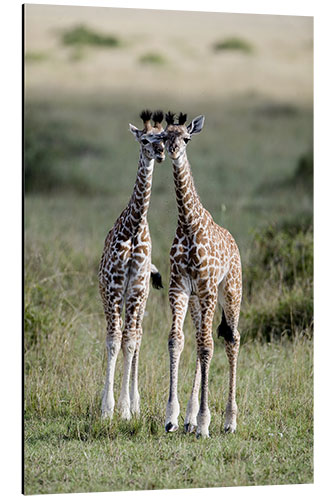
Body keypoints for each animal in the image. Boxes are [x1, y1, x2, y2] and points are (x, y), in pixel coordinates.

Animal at [147, 112, 240, 438]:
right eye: (164, 137)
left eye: (186, 138)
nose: (173, 151)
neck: (188, 224)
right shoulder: (179, 287)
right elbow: (177, 340)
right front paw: (173, 418)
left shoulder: (209, 288)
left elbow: (207, 346)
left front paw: (204, 423)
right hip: (199, 301)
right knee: (202, 340)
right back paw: (189, 418)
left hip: (230, 292)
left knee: (232, 340)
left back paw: (228, 421)